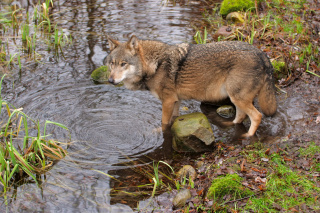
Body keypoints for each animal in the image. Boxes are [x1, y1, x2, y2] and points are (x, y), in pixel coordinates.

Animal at [106, 35, 276, 137]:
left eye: (123, 64)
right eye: (112, 63)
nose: (110, 80)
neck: (155, 65)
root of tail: (261, 53)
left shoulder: (167, 101)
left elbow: (164, 122)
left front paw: (158, 132)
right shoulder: (176, 101)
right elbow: (173, 119)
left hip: (238, 98)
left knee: (257, 116)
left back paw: (247, 136)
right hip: (236, 98)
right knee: (240, 117)